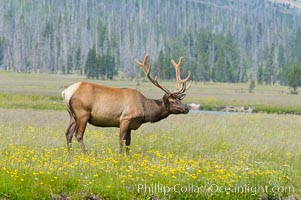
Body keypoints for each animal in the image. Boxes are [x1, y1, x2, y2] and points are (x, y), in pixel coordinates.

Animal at [61, 55, 191, 156]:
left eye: (179, 99)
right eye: (172, 101)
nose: (186, 108)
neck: (145, 110)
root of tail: (66, 92)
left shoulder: (131, 123)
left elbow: (128, 142)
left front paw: (128, 157)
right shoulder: (125, 118)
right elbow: (121, 140)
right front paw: (119, 156)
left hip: (72, 115)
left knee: (68, 133)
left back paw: (69, 154)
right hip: (82, 113)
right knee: (78, 134)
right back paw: (86, 154)